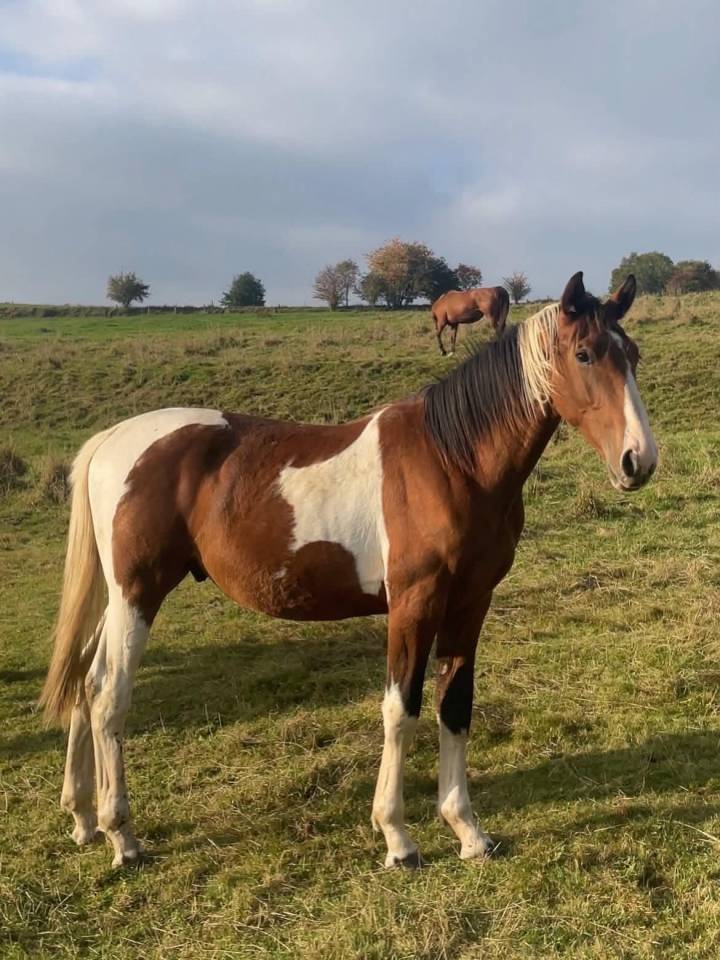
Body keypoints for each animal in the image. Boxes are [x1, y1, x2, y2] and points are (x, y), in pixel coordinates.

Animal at [41, 270, 657, 870]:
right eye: (584, 354)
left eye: (632, 353)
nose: (639, 461)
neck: (451, 460)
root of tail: (111, 441)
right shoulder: (414, 603)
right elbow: (401, 709)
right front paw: (397, 838)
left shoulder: (470, 601)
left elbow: (455, 706)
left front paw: (468, 831)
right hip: (138, 595)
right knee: (108, 695)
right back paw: (122, 836)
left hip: (120, 599)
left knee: (83, 681)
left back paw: (83, 817)